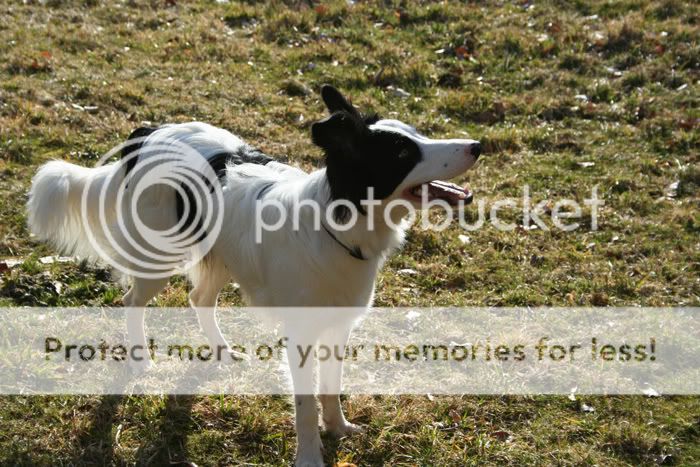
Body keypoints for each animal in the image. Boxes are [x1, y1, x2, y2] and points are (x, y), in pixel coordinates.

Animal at [24, 86, 478, 466]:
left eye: (416, 135)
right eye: (402, 152)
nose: (478, 145)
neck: (335, 224)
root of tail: (150, 132)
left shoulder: (339, 325)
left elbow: (330, 389)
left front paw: (338, 429)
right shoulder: (302, 336)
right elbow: (305, 406)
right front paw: (310, 456)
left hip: (222, 256)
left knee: (198, 299)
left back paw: (221, 351)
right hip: (161, 256)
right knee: (132, 301)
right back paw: (140, 360)